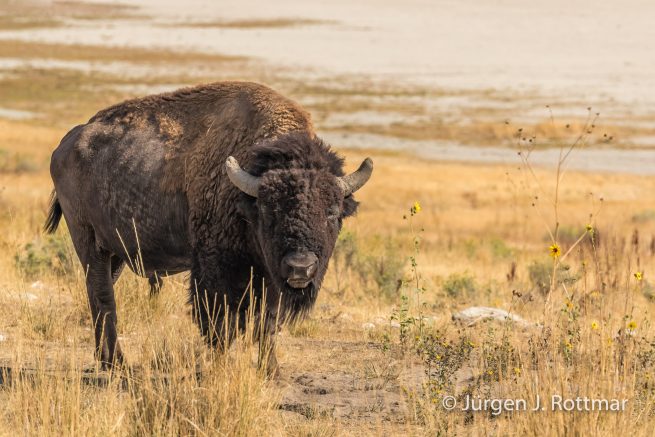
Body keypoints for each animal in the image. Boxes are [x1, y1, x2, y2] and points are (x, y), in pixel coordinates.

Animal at [45, 81, 372, 374]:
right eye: (269, 210)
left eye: (332, 212)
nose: (301, 268)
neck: (245, 196)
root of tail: (64, 145)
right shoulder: (216, 268)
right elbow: (219, 322)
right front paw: (221, 367)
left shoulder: (271, 277)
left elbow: (267, 324)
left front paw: (271, 371)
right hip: (88, 242)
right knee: (103, 296)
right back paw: (117, 364)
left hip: (115, 253)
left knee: (98, 295)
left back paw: (106, 361)